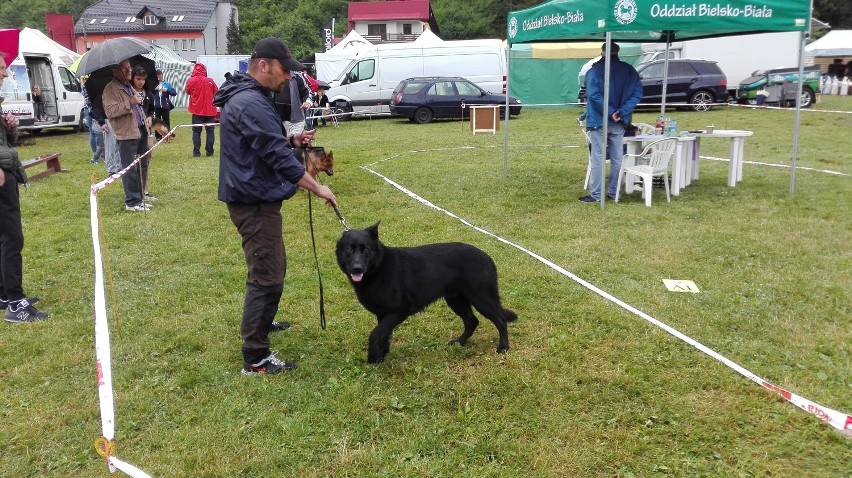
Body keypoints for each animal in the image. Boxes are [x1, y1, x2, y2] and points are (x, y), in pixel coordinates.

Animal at [336, 222, 516, 364]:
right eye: (349, 250)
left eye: (365, 249)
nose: (357, 268)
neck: (379, 267)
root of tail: (488, 258)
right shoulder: (383, 315)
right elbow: (383, 335)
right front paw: (382, 356)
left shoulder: (400, 311)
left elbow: (375, 334)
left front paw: (373, 358)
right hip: (456, 300)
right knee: (472, 321)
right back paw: (459, 342)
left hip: (481, 299)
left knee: (500, 321)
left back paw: (503, 347)